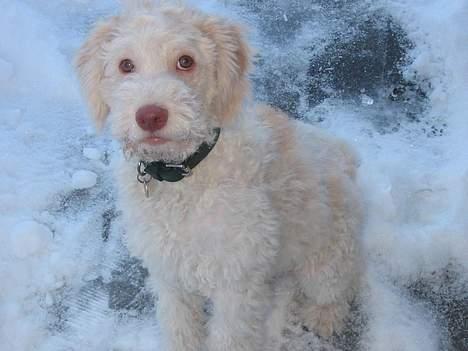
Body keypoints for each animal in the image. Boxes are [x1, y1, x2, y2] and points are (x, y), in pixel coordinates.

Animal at [76, 3, 362, 351]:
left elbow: (230, 336)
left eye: (186, 61)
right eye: (125, 65)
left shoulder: (236, 279)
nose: (150, 116)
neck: (184, 175)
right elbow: (179, 325)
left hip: (328, 255)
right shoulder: (168, 271)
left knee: (338, 288)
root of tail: (344, 159)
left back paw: (324, 317)